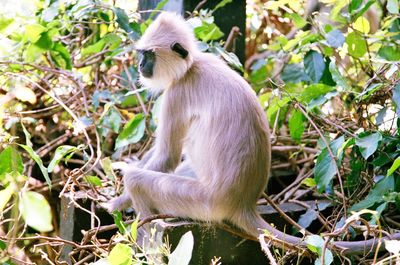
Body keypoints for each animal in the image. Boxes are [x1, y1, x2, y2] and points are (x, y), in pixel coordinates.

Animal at [104, 11, 400, 253]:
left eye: (148, 55)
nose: (140, 65)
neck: (192, 67)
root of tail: (243, 203)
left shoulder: (178, 92)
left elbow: (166, 157)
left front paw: (115, 203)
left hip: (204, 202)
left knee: (140, 181)